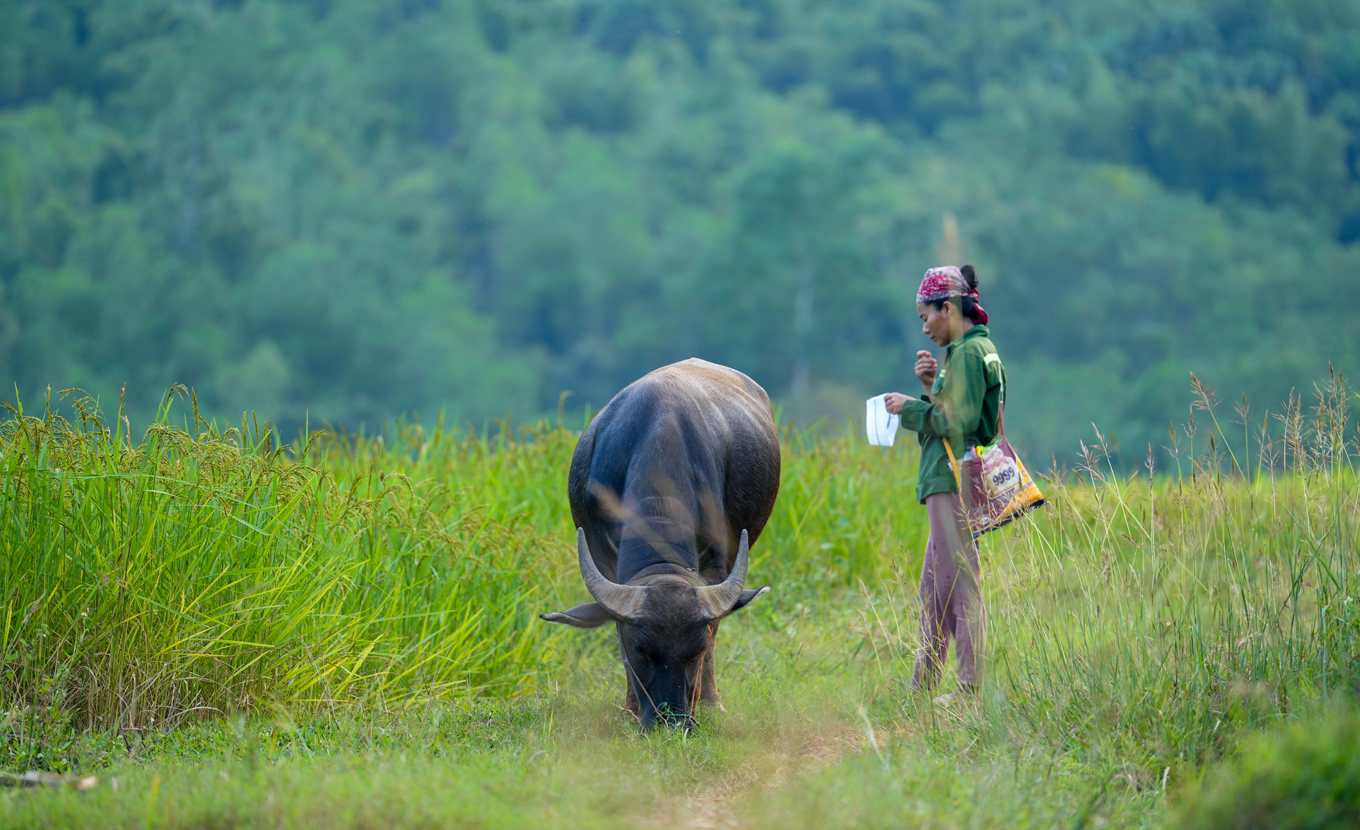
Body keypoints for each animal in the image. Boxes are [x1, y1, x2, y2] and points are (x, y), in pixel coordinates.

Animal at [538, 356, 783, 723]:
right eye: (639, 647)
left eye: (697, 648)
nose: (673, 720)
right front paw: (629, 709)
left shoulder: (717, 559)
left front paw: (709, 703)